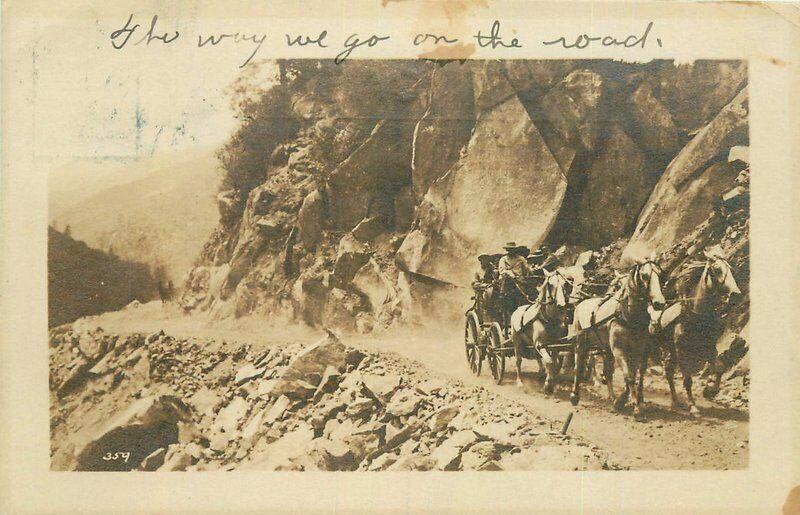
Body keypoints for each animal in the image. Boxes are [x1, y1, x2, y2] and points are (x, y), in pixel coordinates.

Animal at [568, 262, 668, 420]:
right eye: (644, 275)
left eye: (661, 274)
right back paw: (574, 395)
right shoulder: (619, 350)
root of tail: (581, 304)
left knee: (608, 372)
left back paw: (612, 397)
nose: (660, 303)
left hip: (606, 349)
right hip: (581, 343)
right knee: (579, 366)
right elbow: (629, 377)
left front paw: (621, 402)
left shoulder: (637, 350)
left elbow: (632, 375)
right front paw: (636, 409)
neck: (627, 315)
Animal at [648, 252, 744, 418]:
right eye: (717, 270)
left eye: (731, 269)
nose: (735, 294)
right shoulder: (682, 350)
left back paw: (675, 400)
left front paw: (710, 390)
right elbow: (687, 379)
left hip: (671, 349)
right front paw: (693, 406)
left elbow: (719, 367)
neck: (697, 316)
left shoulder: (709, 347)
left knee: (669, 370)